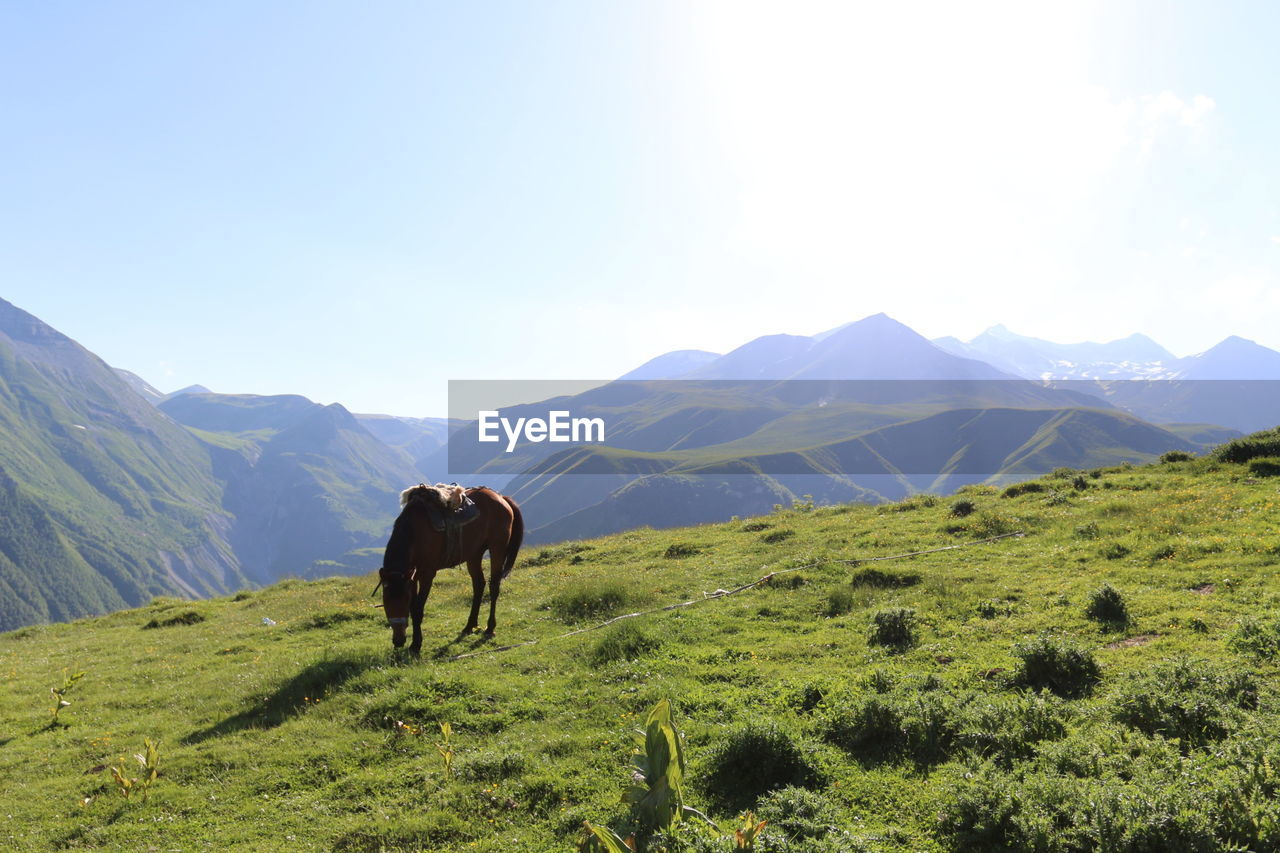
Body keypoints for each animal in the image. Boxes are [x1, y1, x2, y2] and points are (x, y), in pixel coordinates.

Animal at [376, 489, 522, 648]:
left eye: (404, 601)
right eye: (386, 601)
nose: (398, 641)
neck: (414, 532)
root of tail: (501, 497)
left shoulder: (426, 574)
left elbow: (418, 609)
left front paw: (416, 644)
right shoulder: (411, 577)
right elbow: (414, 607)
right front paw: (415, 642)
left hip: (497, 549)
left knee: (494, 586)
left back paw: (490, 627)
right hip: (474, 554)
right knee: (479, 585)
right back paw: (469, 625)